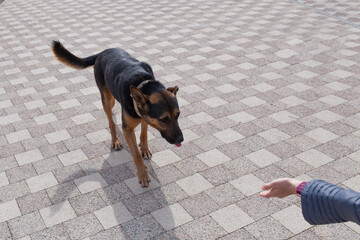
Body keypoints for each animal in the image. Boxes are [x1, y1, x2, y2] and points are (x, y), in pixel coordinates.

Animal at [51, 40, 183, 188]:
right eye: (164, 119)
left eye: (178, 115)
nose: (181, 139)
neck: (143, 84)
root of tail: (103, 52)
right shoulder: (127, 129)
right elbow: (136, 154)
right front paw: (143, 175)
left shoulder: (144, 116)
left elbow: (144, 134)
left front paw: (144, 149)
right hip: (106, 100)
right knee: (111, 121)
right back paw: (115, 140)